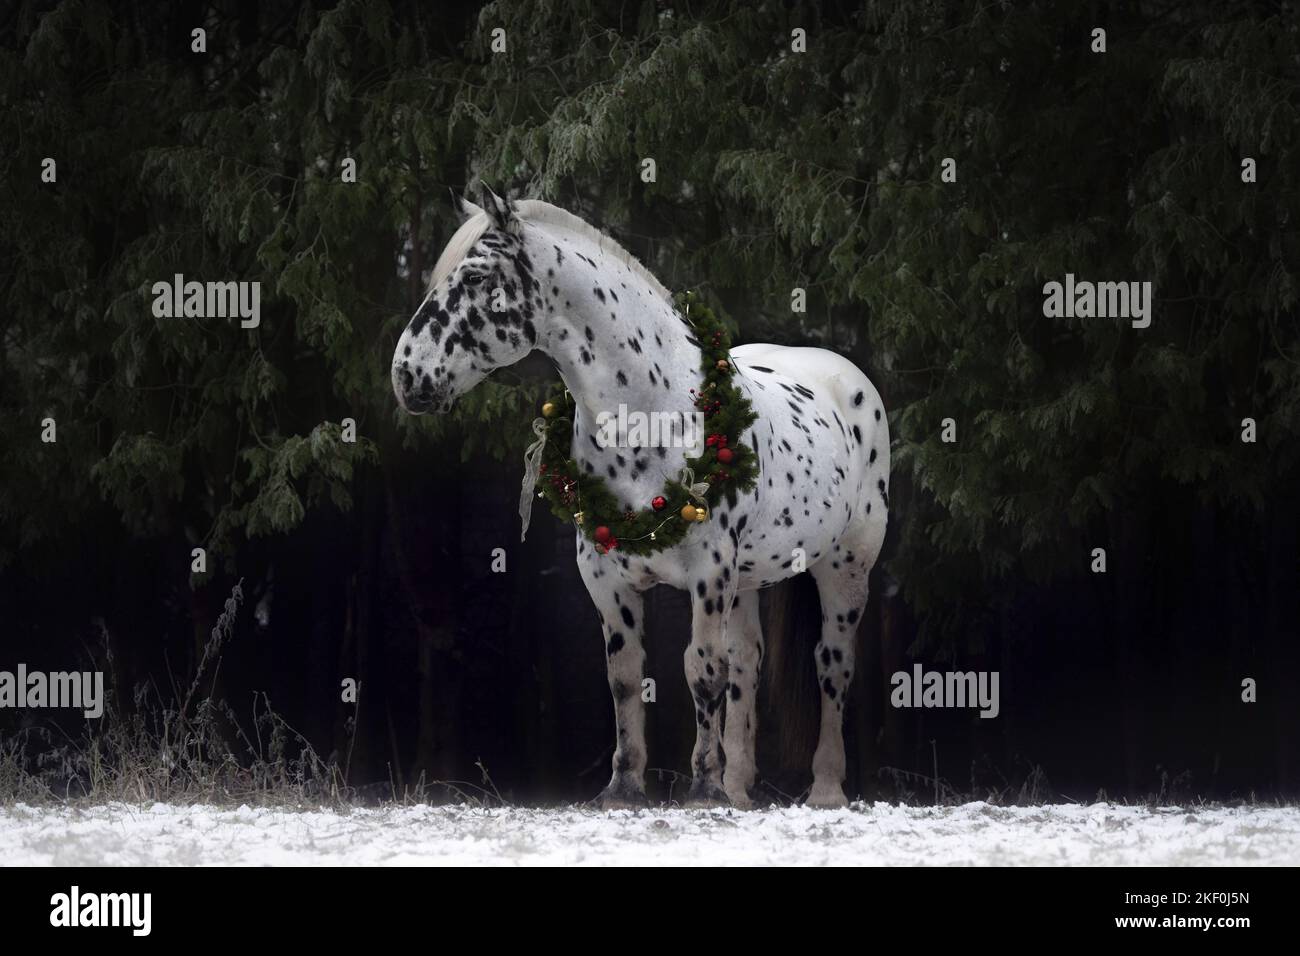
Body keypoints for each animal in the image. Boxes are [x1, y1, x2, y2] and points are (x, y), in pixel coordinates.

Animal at [391, 187, 890, 808]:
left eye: (477, 275)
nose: (406, 376)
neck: (653, 412)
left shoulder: (709, 574)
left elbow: (701, 669)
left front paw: (702, 787)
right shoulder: (608, 578)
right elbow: (626, 678)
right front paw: (625, 785)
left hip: (844, 568)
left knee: (832, 666)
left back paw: (823, 788)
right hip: (750, 580)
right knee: (748, 665)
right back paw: (739, 788)